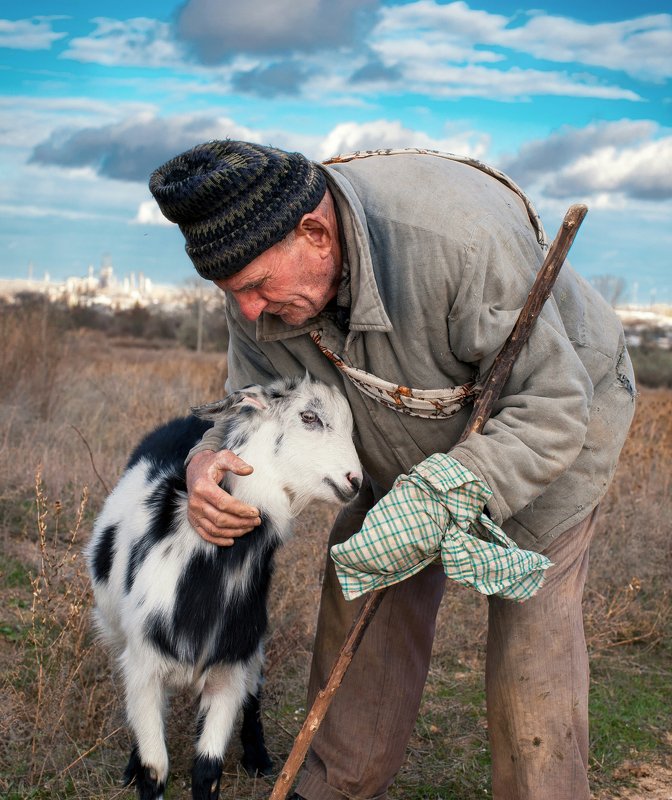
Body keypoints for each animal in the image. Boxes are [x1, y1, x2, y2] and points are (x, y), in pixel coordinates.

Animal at [85, 374, 362, 800]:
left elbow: (207, 769)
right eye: (309, 417)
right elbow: (155, 767)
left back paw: (258, 757)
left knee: (255, 687)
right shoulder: (144, 665)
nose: (355, 481)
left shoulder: (230, 668)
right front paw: (138, 768)